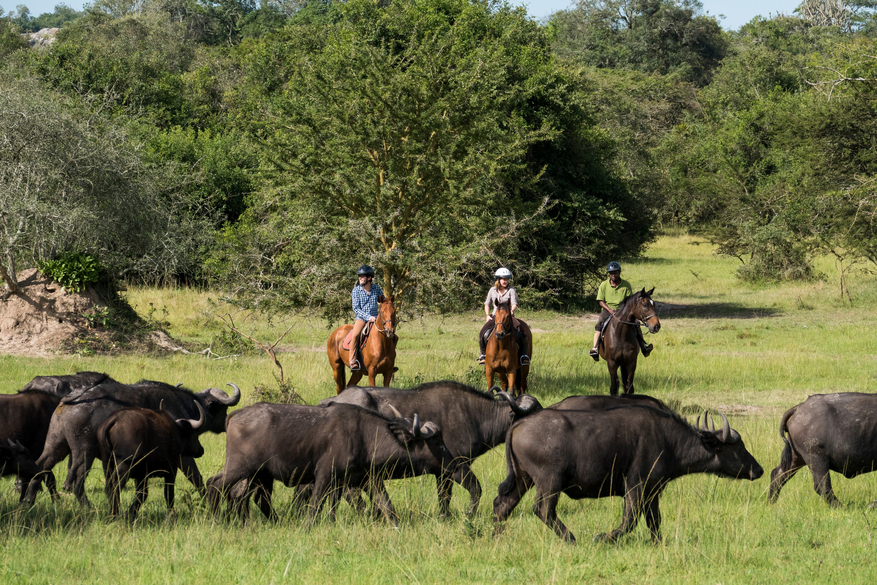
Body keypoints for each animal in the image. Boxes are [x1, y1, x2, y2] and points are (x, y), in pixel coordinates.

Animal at [24, 378, 240, 506]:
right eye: (222, 408)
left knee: (40, 466)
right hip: (83, 452)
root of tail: (70, 400)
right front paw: (206, 498)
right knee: (76, 481)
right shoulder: (181, 455)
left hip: (55, 446)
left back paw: (28, 500)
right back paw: (87, 506)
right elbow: (195, 476)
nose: (226, 421)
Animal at [206, 402, 452, 524]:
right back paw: (214, 519)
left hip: (260, 475)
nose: (452, 461)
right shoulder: (324, 475)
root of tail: (236, 414)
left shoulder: (367, 480)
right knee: (214, 484)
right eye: (437, 441)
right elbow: (316, 506)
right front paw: (308, 527)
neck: (363, 435)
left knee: (257, 499)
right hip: (240, 468)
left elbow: (386, 506)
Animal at [318, 380, 544, 512]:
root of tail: (330, 402)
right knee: (351, 492)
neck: (475, 415)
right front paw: (469, 514)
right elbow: (476, 489)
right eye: (535, 411)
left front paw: (445, 517)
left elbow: (444, 498)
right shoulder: (456, 466)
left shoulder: (442, 473)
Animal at [492, 406, 760, 544]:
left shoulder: (653, 492)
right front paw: (602, 538)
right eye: (738, 448)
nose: (758, 469)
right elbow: (629, 521)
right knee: (543, 510)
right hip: (549, 482)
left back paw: (495, 536)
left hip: (523, 479)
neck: (669, 441)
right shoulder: (635, 487)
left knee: (503, 504)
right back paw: (572, 539)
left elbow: (654, 520)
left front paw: (657, 543)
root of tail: (519, 424)